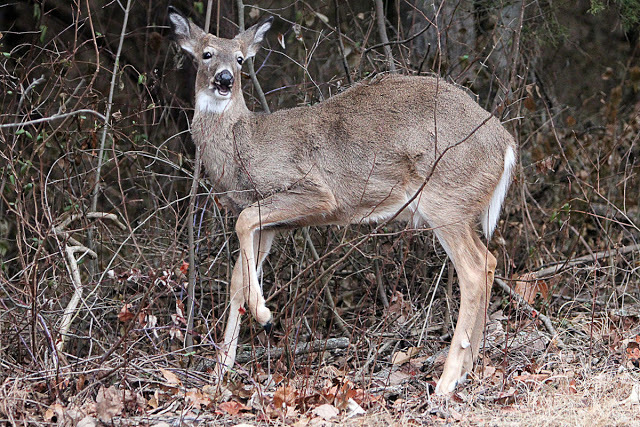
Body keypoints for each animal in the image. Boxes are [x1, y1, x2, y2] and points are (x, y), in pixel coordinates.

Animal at [168, 7, 516, 394]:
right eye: (206, 54)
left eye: (241, 59)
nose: (226, 79)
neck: (243, 145)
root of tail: (506, 145)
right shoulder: (268, 223)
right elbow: (237, 282)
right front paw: (218, 375)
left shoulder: (313, 193)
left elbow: (243, 235)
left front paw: (265, 316)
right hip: (461, 206)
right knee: (489, 261)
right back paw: (468, 369)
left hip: (446, 199)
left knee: (472, 269)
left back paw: (447, 380)